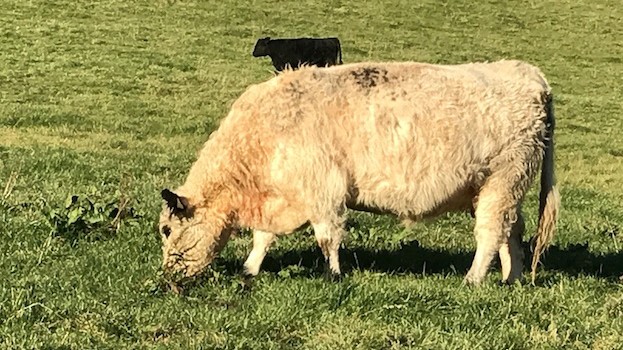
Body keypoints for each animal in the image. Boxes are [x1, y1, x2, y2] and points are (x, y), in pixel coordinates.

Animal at [158, 59, 564, 284]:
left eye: (166, 230)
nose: (166, 275)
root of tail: (527, 73)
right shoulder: (283, 194)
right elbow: (263, 238)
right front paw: (250, 269)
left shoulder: (323, 191)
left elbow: (328, 238)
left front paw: (333, 275)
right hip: (502, 189)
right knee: (512, 232)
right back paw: (510, 278)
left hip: (503, 181)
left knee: (490, 233)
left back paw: (473, 279)